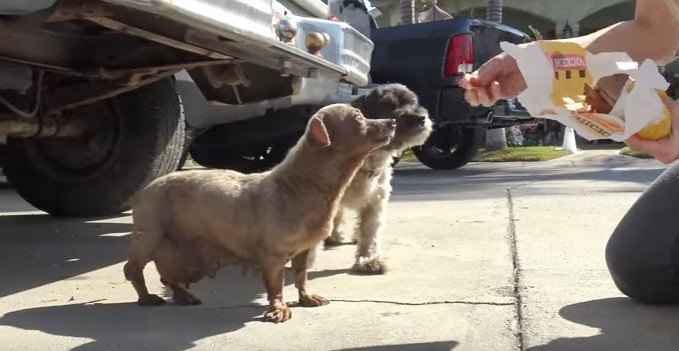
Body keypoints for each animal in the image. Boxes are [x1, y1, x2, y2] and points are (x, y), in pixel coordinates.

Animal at [125, 104, 396, 324]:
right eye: (359, 118)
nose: (393, 121)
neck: (301, 185)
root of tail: (146, 188)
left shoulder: (305, 250)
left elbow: (301, 276)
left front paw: (306, 297)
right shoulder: (273, 257)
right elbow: (276, 285)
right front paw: (278, 309)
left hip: (176, 259)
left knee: (167, 278)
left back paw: (182, 295)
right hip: (148, 237)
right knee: (133, 270)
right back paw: (146, 297)